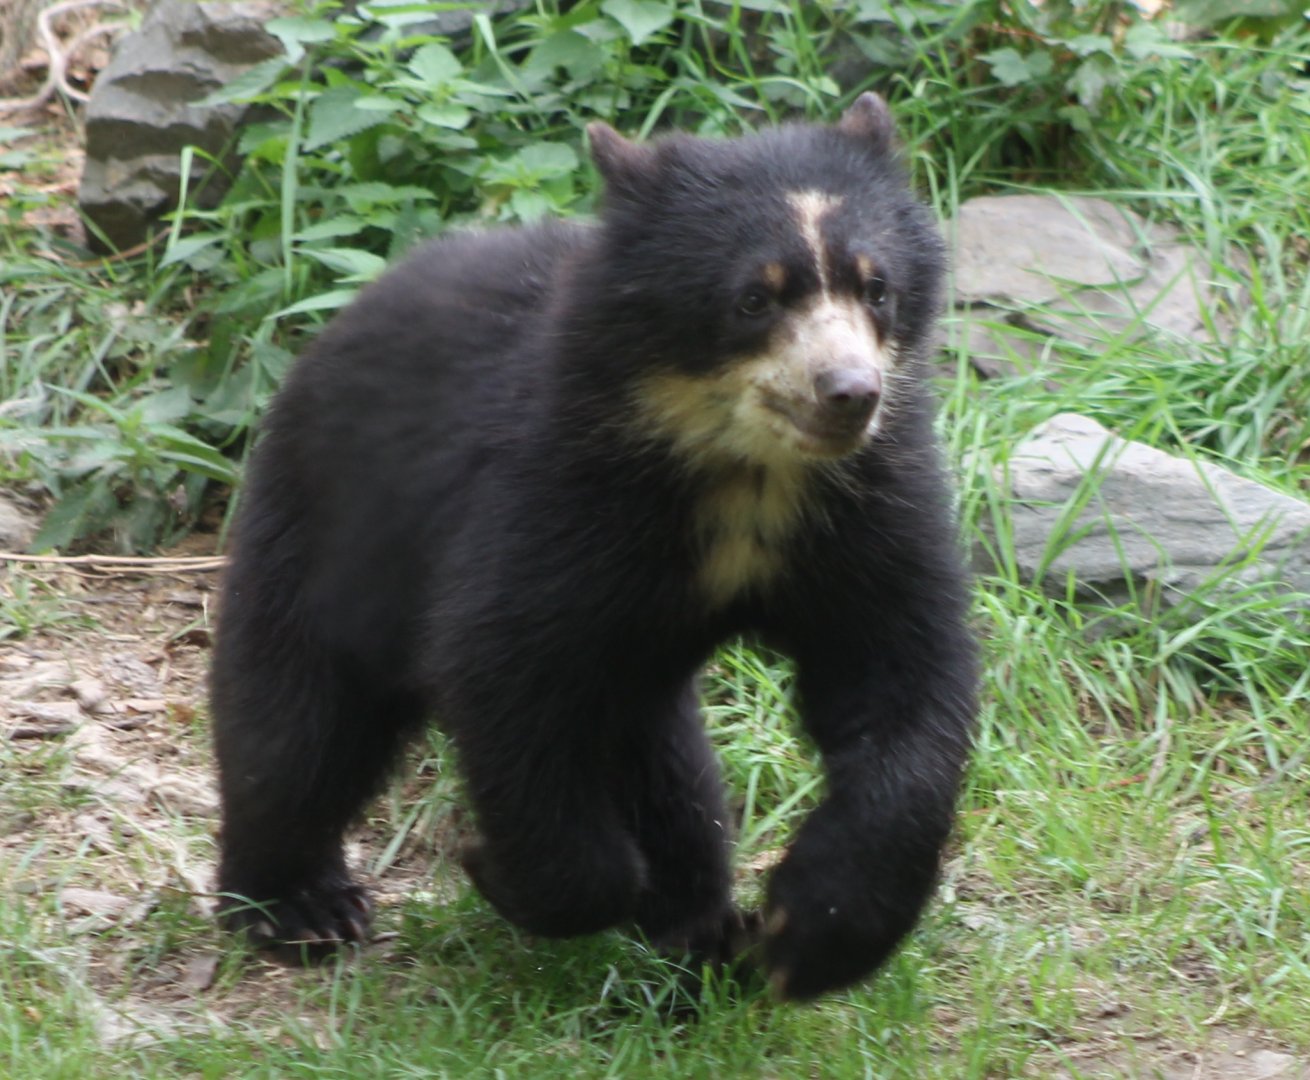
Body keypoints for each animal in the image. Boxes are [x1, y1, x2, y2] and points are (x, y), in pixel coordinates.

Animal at [209, 92, 978, 1001]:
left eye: (876, 286)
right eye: (754, 299)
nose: (849, 394)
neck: (742, 469)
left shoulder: (867, 506)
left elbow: (900, 674)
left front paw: (808, 933)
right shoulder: (559, 495)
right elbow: (505, 669)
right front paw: (512, 874)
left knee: (663, 765)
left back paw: (700, 932)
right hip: (329, 520)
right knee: (298, 721)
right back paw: (296, 904)